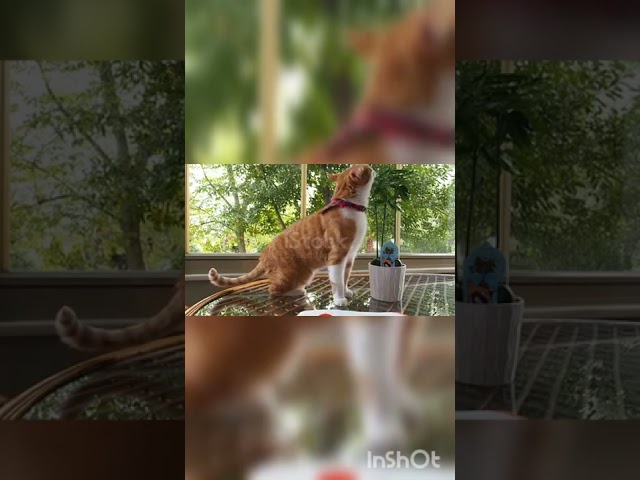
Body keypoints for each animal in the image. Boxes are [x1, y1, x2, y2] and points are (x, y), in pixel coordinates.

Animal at [209, 165, 376, 308]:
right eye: (368, 169)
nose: (374, 168)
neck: (349, 206)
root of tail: (264, 256)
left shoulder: (350, 257)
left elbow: (345, 278)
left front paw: (346, 292)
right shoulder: (337, 257)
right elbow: (337, 282)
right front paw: (339, 299)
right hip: (295, 274)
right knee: (273, 289)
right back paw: (297, 291)